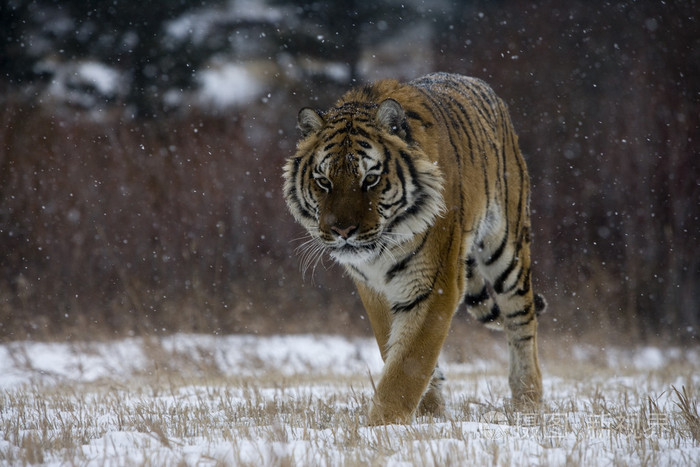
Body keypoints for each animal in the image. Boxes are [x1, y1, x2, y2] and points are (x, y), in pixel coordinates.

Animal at [283, 72, 544, 425]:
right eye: (324, 181)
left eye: (370, 179)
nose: (342, 230)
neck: (381, 251)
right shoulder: (372, 288)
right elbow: (396, 349)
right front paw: (429, 411)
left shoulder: (434, 284)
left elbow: (408, 363)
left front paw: (383, 425)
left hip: (506, 247)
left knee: (522, 321)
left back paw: (528, 399)